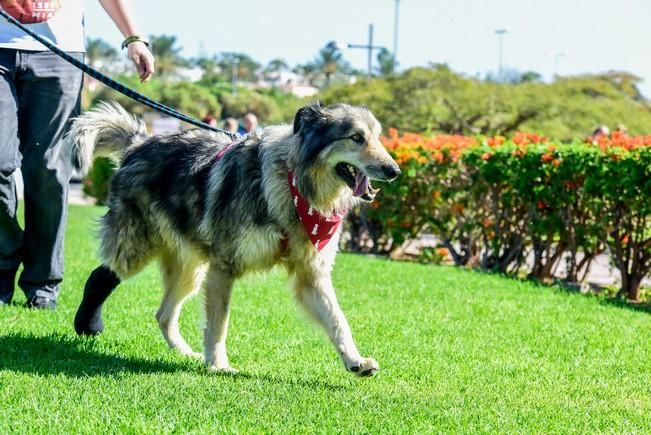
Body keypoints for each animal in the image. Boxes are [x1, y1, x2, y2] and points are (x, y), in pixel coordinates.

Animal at [69, 102, 400, 378]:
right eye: (356, 137)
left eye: (377, 137)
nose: (394, 170)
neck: (291, 186)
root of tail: (139, 143)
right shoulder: (223, 268)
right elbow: (219, 323)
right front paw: (218, 365)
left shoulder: (311, 275)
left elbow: (337, 320)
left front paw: (355, 361)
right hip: (137, 247)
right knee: (104, 274)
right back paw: (87, 323)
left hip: (190, 270)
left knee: (163, 314)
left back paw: (185, 353)